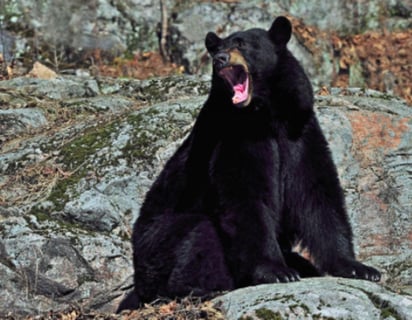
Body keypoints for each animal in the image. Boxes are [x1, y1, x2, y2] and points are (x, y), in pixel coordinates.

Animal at [116, 16, 380, 312]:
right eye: (217, 47)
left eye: (242, 44)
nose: (219, 58)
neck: (267, 115)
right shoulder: (235, 137)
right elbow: (246, 198)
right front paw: (277, 272)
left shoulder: (300, 132)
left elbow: (318, 195)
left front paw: (358, 267)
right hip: (155, 246)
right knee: (199, 232)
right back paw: (200, 288)